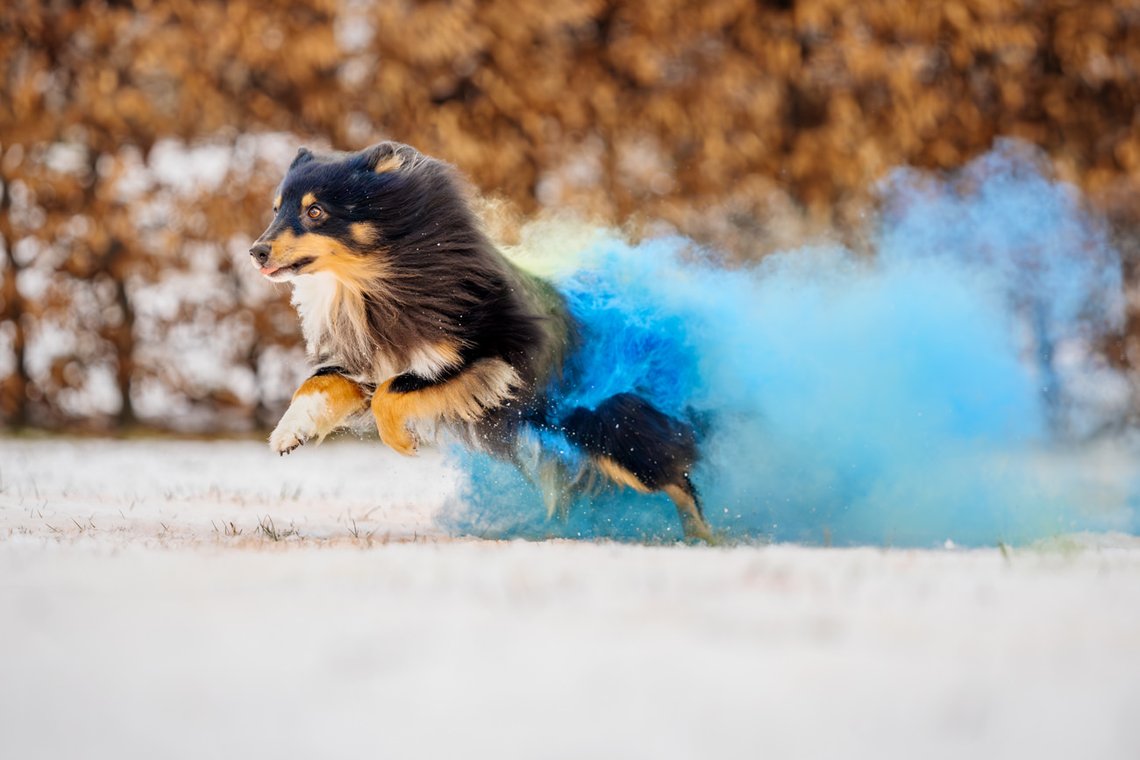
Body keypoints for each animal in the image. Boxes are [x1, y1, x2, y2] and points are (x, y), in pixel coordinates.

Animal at [251, 138, 711, 540]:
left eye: (315, 211)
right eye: (275, 209)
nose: (256, 251)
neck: (373, 284)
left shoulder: (492, 357)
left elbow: (391, 392)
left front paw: (402, 442)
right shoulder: (367, 360)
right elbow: (321, 382)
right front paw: (288, 434)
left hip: (609, 430)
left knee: (676, 477)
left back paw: (706, 536)